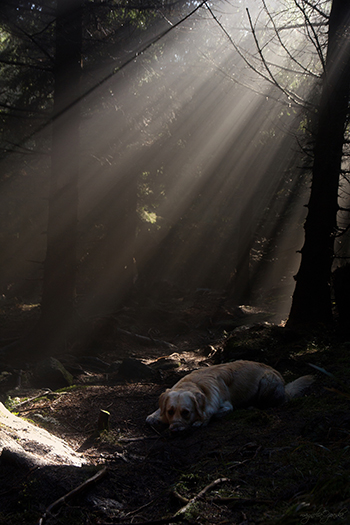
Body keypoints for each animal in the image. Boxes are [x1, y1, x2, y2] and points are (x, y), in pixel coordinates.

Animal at [146, 358, 314, 432]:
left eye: (186, 413)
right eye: (170, 411)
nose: (174, 429)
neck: (194, 384)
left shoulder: (226, 405)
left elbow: (213, 412)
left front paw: (202, 420)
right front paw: (154, 416)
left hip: (267, 381)